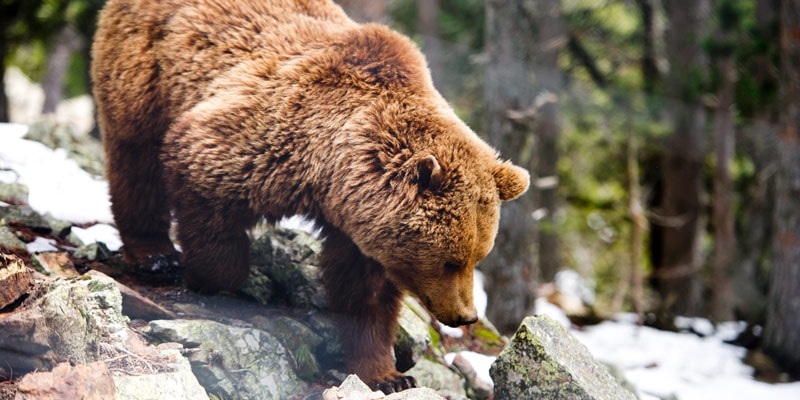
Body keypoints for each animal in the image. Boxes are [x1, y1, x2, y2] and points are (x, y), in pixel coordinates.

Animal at [90, 0, 528, 390]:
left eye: (477, 257)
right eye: (451, 261)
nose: (466, 316)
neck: (325, 174)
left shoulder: (359, 224)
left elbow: (365, 295)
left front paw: (387, 374)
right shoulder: (263, 137)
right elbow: (202, 174)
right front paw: (209, 278)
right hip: (146, 67)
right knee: (136, 156)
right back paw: (155, 254)